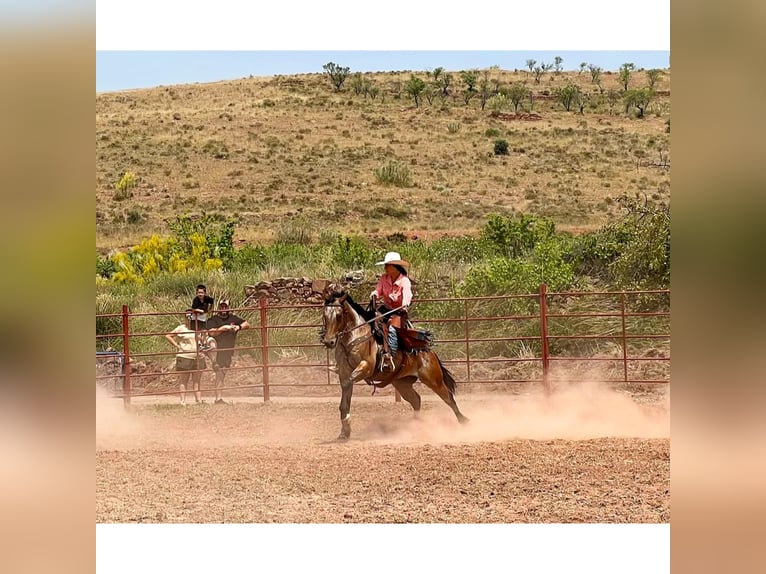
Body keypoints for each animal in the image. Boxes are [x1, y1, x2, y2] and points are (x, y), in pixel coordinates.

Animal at [318, 286, 468, 440]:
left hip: (433, 380)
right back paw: (416, 427)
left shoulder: (366, 367)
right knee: (416, 400)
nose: (328, 341)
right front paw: (345, 431)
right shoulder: (343, 371)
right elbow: (344, 401)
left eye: (339, 315)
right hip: (402, 384)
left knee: (448, 398)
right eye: (324, 315)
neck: (355, 336)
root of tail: (428, 352)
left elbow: (350, 381)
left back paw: (464, 421)